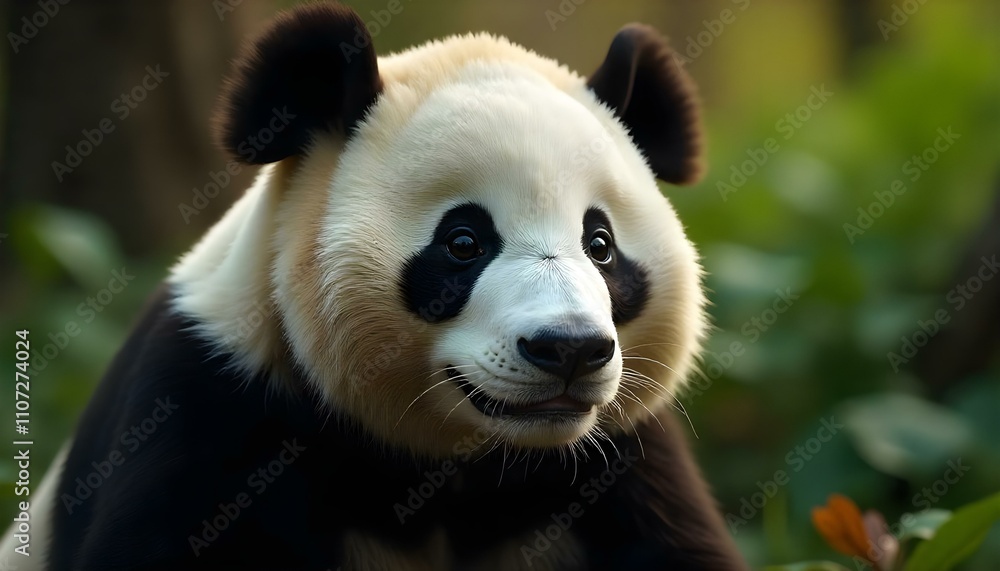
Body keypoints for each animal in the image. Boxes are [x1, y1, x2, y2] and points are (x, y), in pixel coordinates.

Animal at [1, 2, 747, 570]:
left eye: (600, 245)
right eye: (463, 242)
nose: (568, 349)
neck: (448, 472)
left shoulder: (618, 465)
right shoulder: (211, 412)